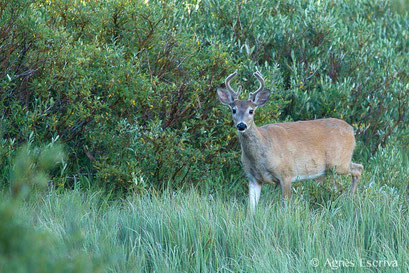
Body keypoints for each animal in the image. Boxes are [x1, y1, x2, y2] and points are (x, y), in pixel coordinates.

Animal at [217, 71, 364, 211]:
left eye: (251, 111)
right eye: (233, 110)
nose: (241, 125)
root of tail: (351, 130)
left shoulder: (286, 173)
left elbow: (285, 206)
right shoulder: (253, 178)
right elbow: (251, 208)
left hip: (339, 163)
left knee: (359, 168)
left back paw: (350, 199)